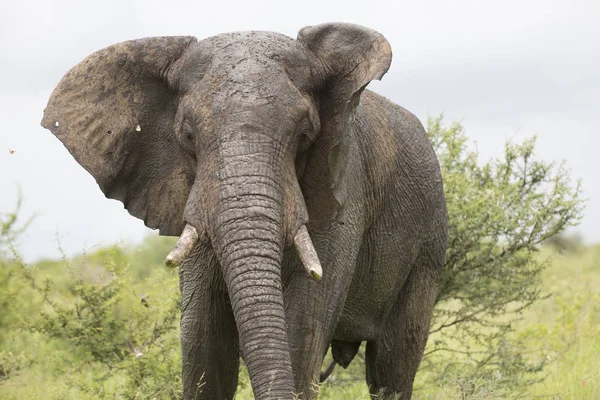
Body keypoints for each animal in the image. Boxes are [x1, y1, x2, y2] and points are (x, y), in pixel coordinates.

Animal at [41, 22, 446, 400]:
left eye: (304, 136)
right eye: (188, 136)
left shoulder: (344, 190)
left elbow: (301, 334)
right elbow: (204, 344)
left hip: (428, 245)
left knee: (393, 368)